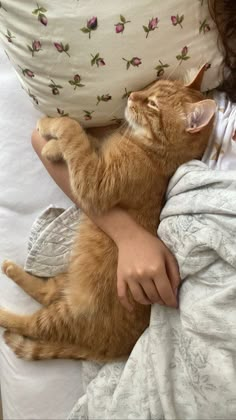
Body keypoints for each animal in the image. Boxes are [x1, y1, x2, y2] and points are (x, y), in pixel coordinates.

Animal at [0, 68, 217, 360]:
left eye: (152, 104)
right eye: (152, 86)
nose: (133, 95)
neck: (150, 151)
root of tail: (112, 350)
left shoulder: (95, 182)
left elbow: (74, 133)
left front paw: (53, 130)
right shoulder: (99, 153)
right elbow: (87, 139)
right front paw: (52, 144)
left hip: (68, 314)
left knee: (35, 324)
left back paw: (4, 314)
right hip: (67, 279)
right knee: (45, 292)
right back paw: (10, 269)